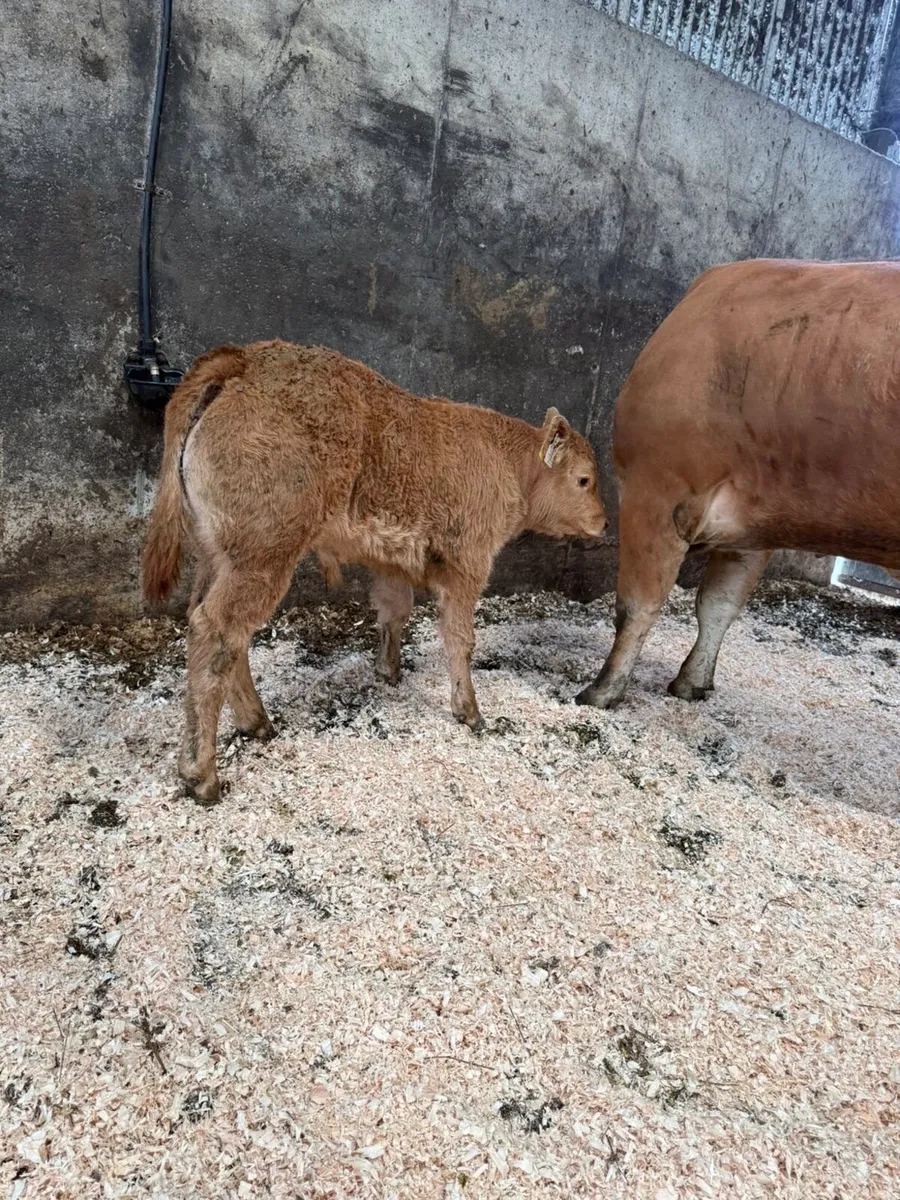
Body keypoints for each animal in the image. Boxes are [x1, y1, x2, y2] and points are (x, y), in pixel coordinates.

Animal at [142, 340, 606, 803]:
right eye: (583, 479)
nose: (603, 522)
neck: (510, 461)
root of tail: (243, 360)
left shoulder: (391, 562)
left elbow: (394, 611)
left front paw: (389, 670)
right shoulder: (467, 566)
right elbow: (460, 638)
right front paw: (469, 711)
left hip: (217, 558)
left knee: (220, 630)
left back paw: (257, 723)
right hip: (261, 560)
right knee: (217, 631)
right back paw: (203, 774)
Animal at [575, 258, 900, 711]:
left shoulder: (656, 488)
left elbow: (637, 605)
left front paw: (602, 691)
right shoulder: (756, 521)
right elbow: (719, 604)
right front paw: (692, 682)